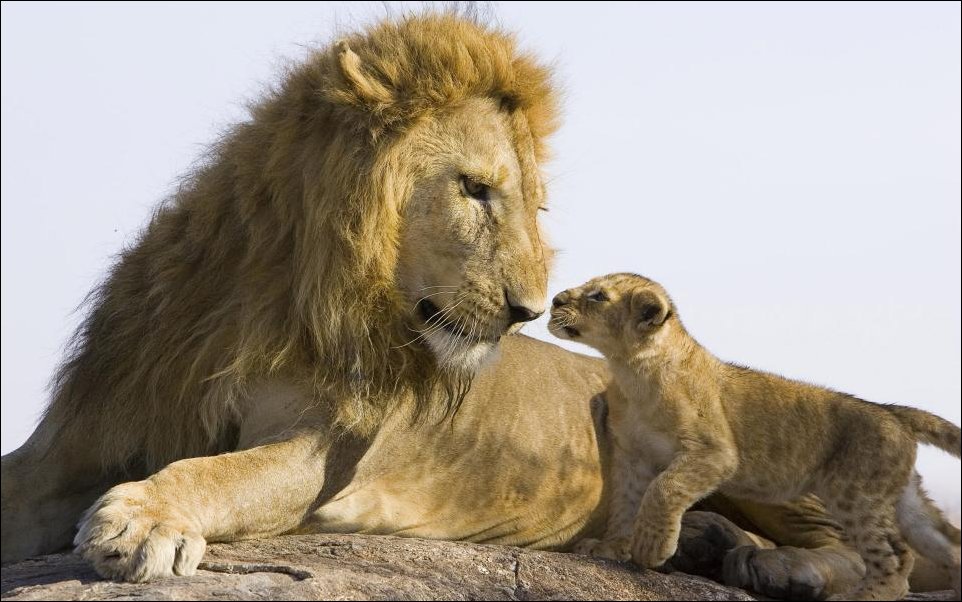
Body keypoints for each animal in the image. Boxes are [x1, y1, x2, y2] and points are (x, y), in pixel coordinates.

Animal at [0, 11, 950, 597]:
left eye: (534, 204)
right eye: (474, 190)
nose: (531, 310)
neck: (271, 293)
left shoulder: (322, 451)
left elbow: (219, 471)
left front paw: (142, 517)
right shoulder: (83, 435)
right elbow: (23, 486)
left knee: (883, 551)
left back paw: (782, 567)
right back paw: (708, 547)